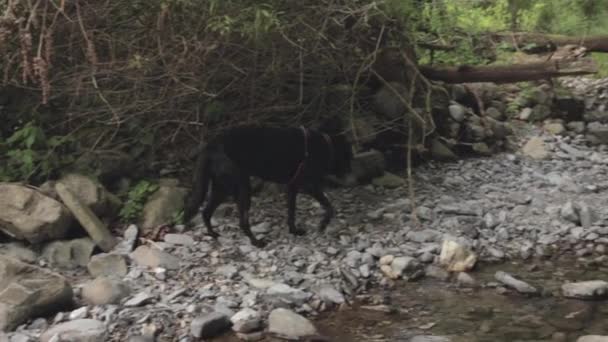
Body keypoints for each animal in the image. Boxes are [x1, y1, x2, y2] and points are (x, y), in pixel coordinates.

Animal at [182, 124, 352, 247]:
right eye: (349, 155)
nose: (350, 174)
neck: (326, 145)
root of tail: (210, 146)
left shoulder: (293, 187)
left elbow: (292, 212)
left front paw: (294, 231)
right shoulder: (308, 185)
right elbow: (329, 206)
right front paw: (323, 225)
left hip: (221, 188)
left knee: (206, 212)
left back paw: (212, 234)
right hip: (242, 187)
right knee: (242, 222)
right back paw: (256, 242)